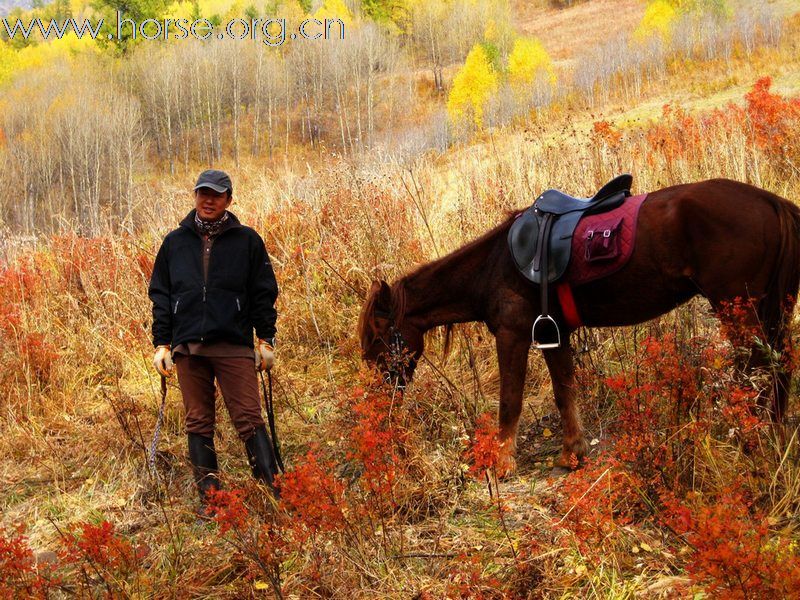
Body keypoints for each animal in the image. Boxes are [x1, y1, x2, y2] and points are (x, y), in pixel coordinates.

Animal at [360, 178, 800, 474]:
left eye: (378, 340)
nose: (386, 404)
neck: (493, 265)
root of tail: (770, 201)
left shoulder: (513, 334)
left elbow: (510, 400)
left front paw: (502, 462)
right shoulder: (554, 335)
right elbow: (563, 392)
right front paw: (573, 451)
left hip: (738, 311)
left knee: (760, 373)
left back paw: (749, 438)